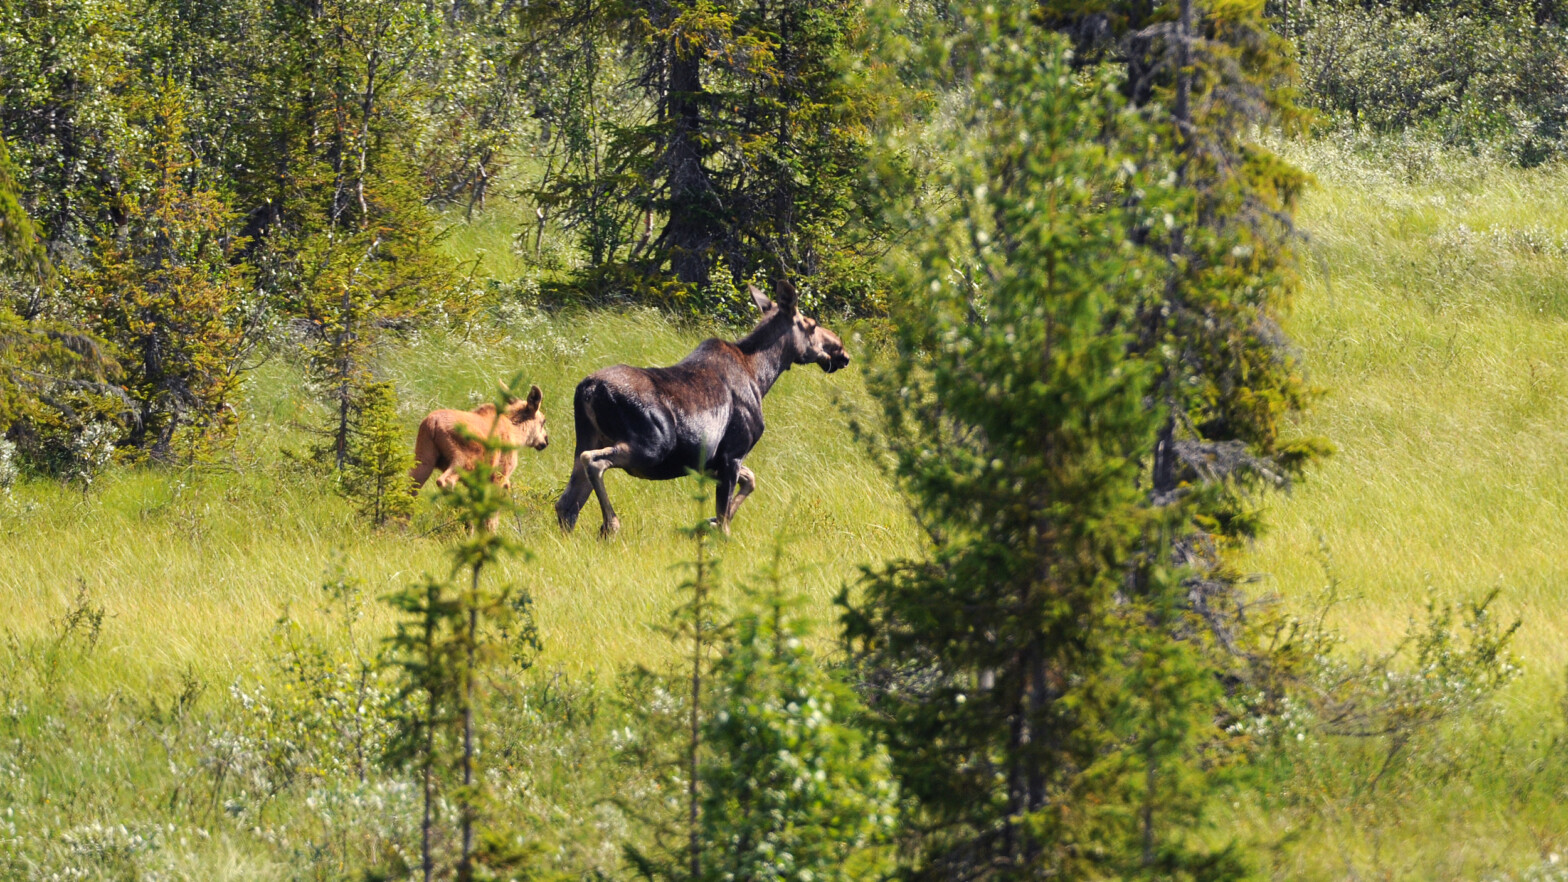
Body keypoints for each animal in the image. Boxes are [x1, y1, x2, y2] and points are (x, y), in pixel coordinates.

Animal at [558, 279, 852, 536]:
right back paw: (611, 525)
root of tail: (588, 390)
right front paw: (716, 529)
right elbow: (725, 515)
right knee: (593, 462)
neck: (762, 376)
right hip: (650, 447)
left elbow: (750, 481)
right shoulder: (733, 453)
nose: (841, 352)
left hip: (588, 438)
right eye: (811, 325)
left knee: (566, 503)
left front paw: (707, 522)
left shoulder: (714, 462)